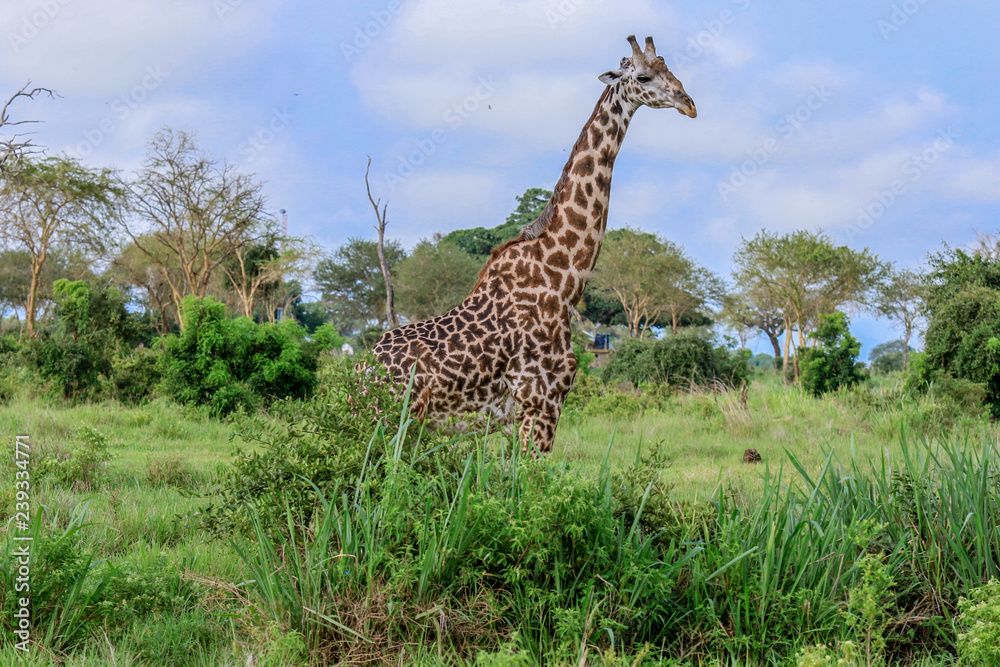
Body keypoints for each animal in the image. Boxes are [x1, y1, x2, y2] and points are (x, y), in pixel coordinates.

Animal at [373, 34, 696, 453]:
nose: (689, 104)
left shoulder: (533, 411)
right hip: (391, 419)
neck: (563, 280)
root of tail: (356, 370)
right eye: (643, 75)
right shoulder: (540, 402)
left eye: (669, 68)